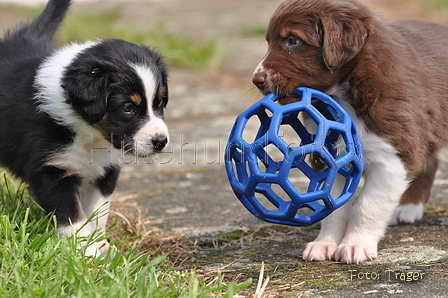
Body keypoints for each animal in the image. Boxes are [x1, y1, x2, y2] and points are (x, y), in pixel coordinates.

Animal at [0, 0, 169, 256]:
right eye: (128, 108)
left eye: (159, 102)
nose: (161, 142)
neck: (91, 135)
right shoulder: (51, 170)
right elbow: (72, 217)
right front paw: (87, 253)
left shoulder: (106, 170)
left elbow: (98, 212)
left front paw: (102, 248)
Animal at [252, 0, 448, 264]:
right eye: (269, 42)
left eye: (292, 40)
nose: (256, 79)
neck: (344, 96)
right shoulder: (329, 158)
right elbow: (332, 206)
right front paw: (325, 244)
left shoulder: (393, 154)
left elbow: (367, 205)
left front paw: (356, 245)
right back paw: (409, 207)